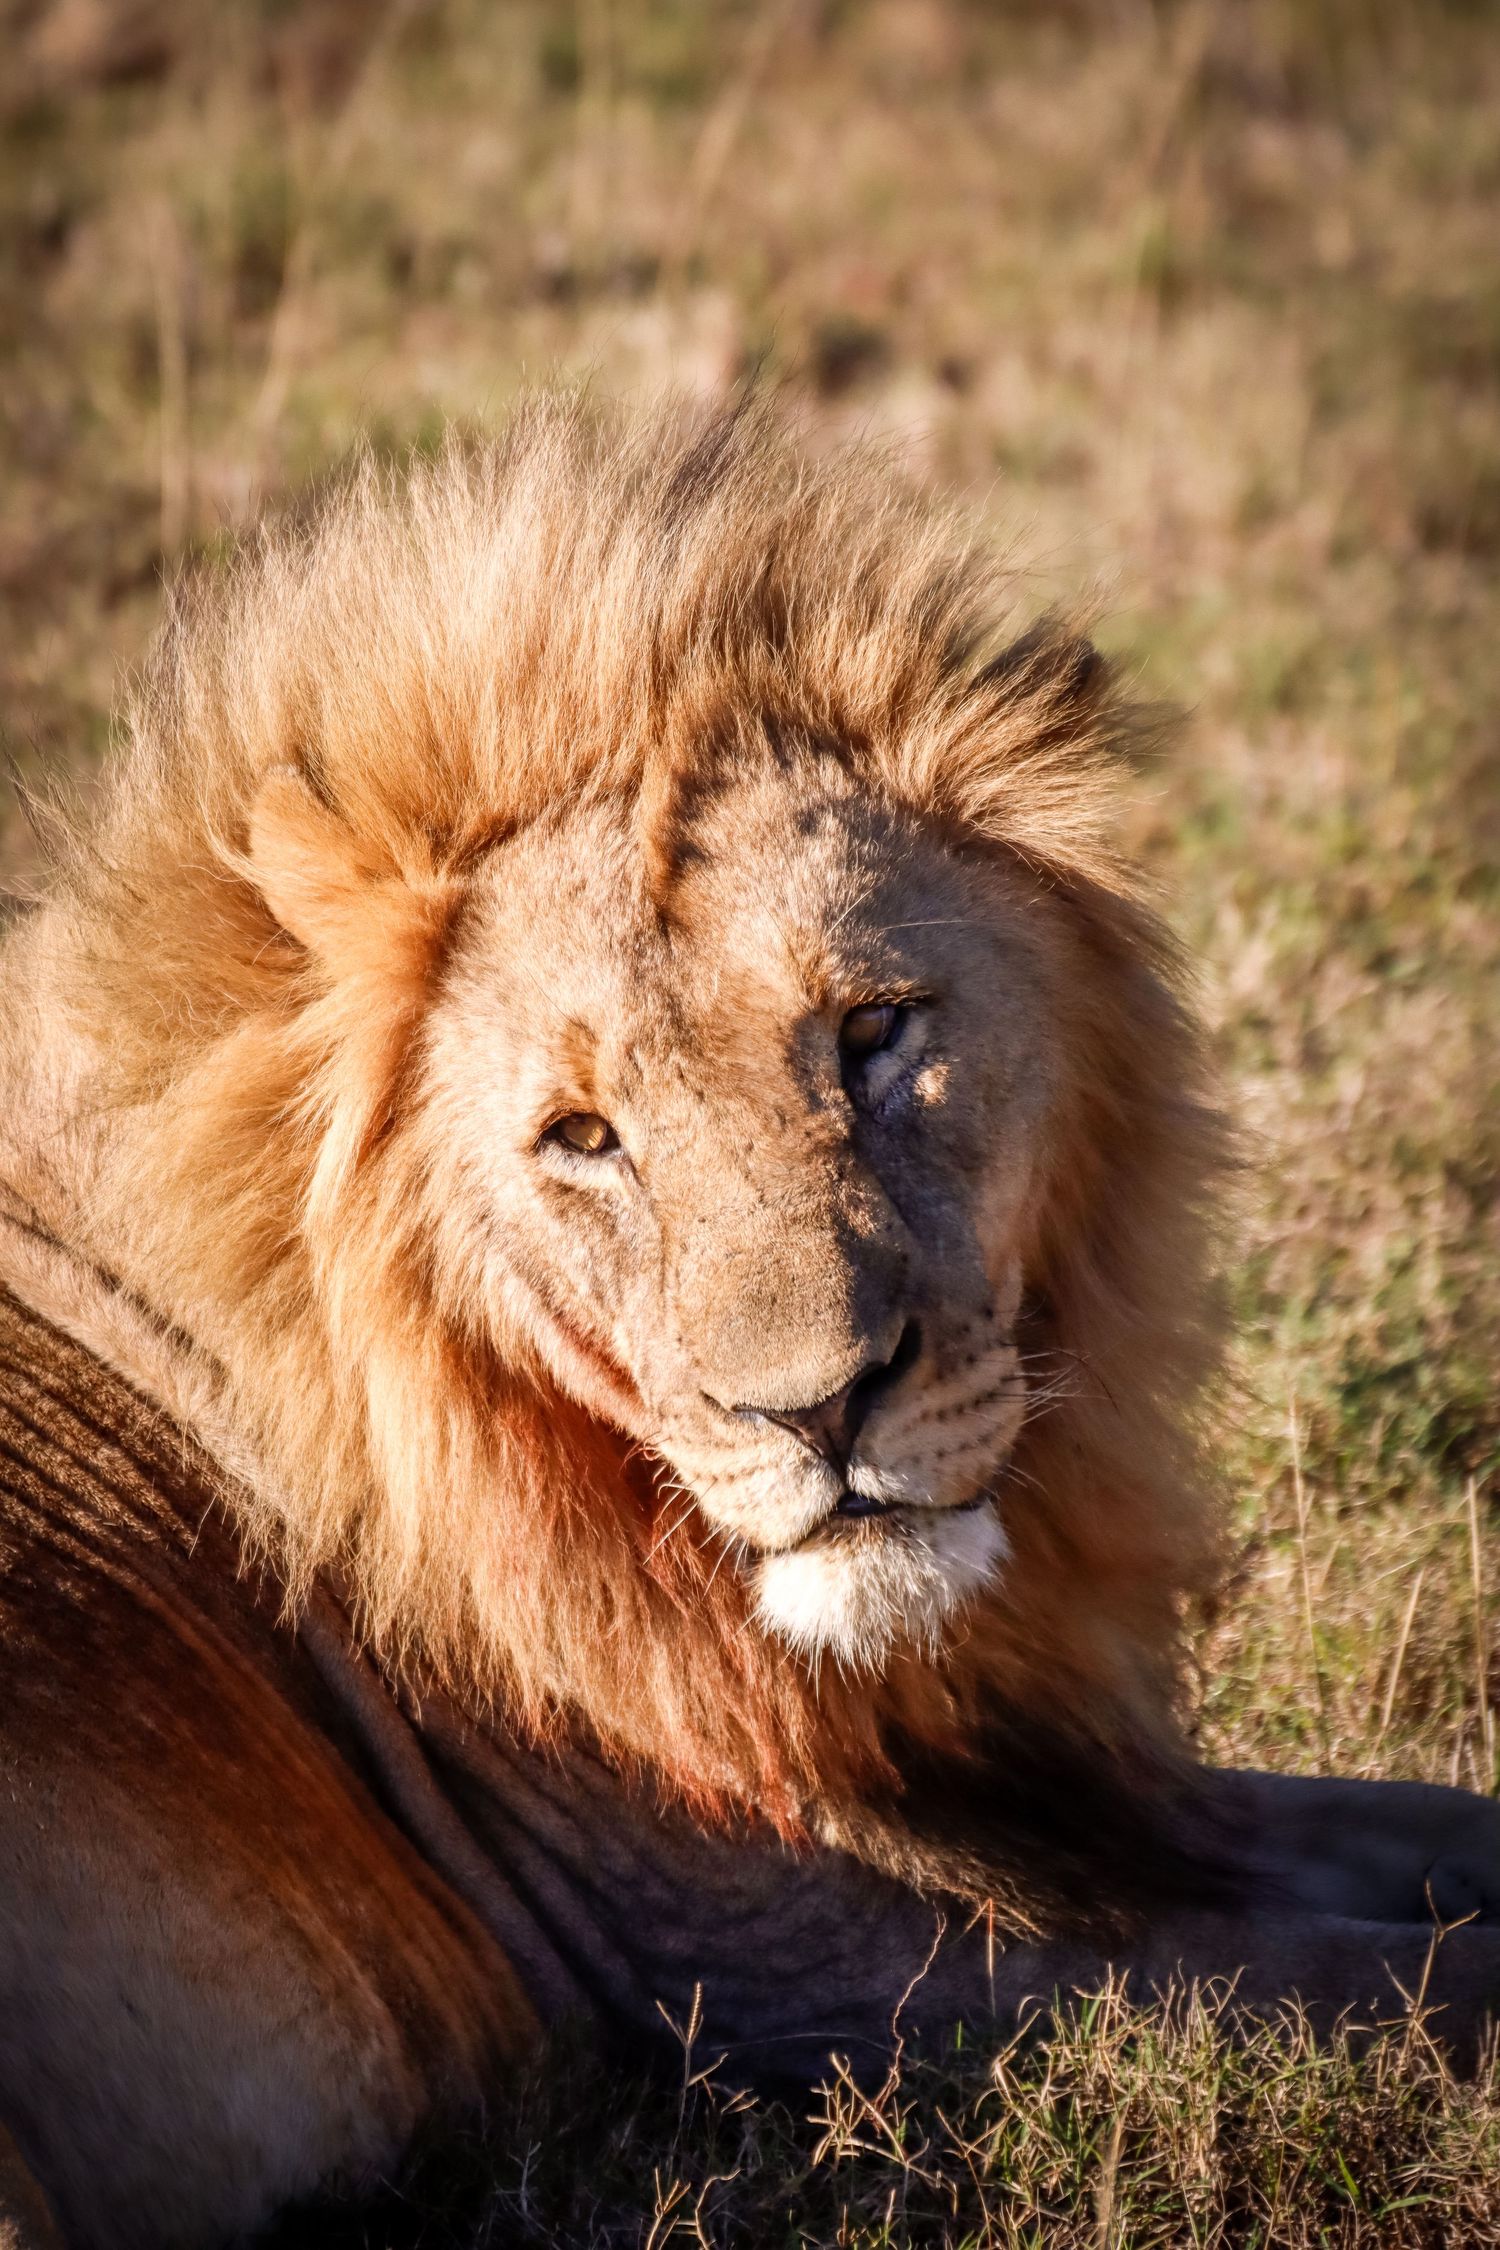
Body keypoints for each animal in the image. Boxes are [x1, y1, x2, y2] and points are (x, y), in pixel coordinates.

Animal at [0, 397, 1496, 2250]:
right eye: (584, 1137)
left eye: (870, 1030)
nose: (820, 1411)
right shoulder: (780, 1962)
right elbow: (1406, 1980)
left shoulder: (1056, 1788)